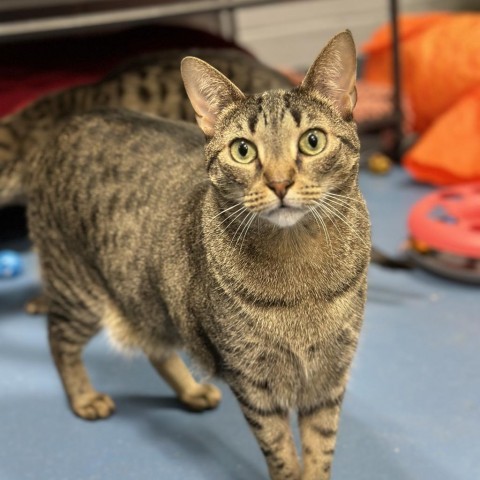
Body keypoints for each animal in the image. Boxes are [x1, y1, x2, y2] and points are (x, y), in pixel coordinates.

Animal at [4, 31, 372, 478]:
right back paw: (83, 397)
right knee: (58, 338)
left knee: (153, 345)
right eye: (243, 151)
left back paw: (191, 389)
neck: (300, 268)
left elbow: (320, 448)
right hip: (79, 289)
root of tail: (55, 134)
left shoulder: (329, 375)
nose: (280, 182)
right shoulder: (253, 381)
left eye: (312, 141)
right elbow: (281, 452)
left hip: (146, 293)